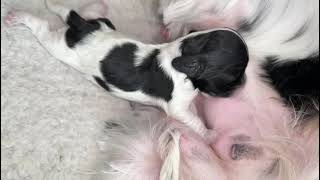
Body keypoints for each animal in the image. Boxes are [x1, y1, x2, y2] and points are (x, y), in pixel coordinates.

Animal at [5, 0, 250, 136]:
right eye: (234, 76)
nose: (244, 86)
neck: (184, 51)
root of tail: (86, 30)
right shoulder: (177, 108)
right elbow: (195, 121)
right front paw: (208, 135)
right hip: (60, 47)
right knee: (43, 27)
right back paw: (19, 17)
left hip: (102, 24)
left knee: (72, 11)